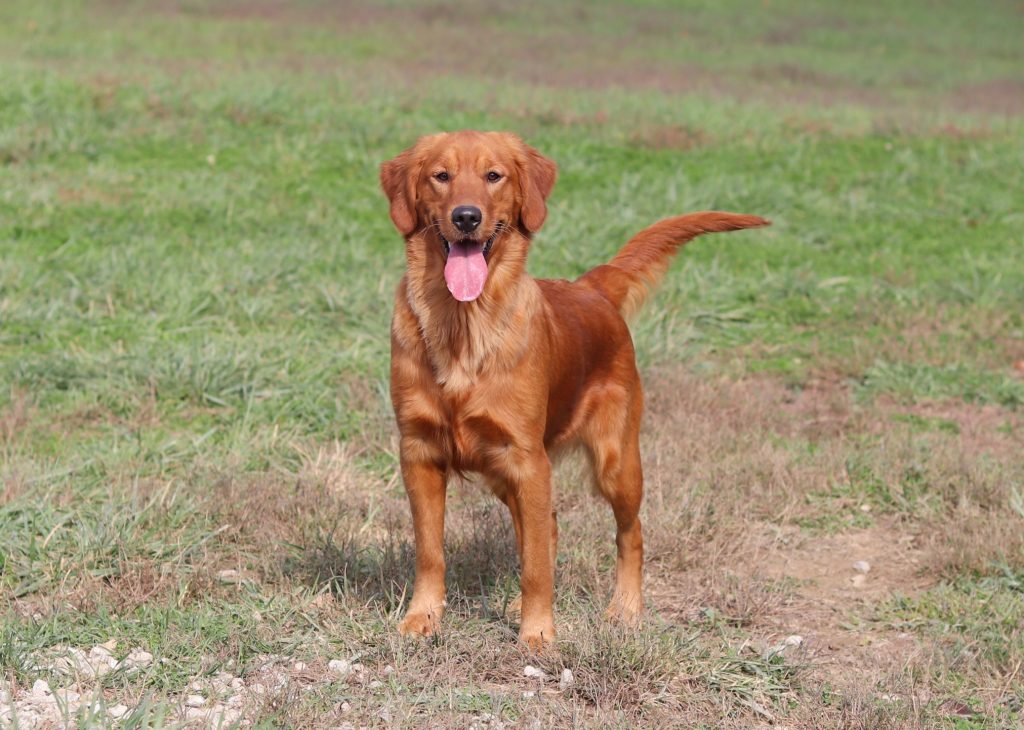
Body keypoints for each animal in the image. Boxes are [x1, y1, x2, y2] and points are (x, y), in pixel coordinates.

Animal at [381, 130, 768, 649]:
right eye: (440, 176)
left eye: (493, 175)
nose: (466, 217)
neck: (463, 325)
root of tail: (592, 288)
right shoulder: (419, 452)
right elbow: (431, 550)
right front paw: (423, 618)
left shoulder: (527, 459)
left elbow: (535, 565)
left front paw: (538, 634)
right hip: (509, 471)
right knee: (548, 528)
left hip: (615, 461)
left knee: (630, 534)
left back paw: (625, 609)